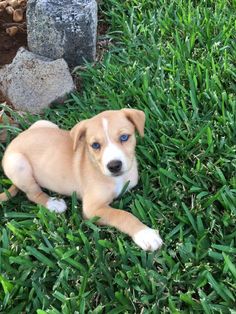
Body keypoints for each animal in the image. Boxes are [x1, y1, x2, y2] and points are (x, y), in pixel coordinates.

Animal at [0, 109, 162, 251]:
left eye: (124, 137)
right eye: (95, 145)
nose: (114, 166)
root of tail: (14, 141)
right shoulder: (92, 209)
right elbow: (122, 215)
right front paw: (145, 234)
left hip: (44, 123)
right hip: (18, 164)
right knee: (32, 194)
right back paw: (53, 204)